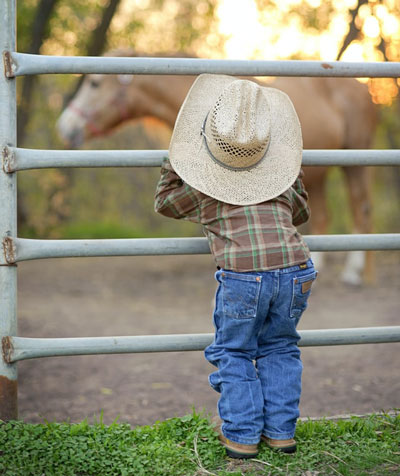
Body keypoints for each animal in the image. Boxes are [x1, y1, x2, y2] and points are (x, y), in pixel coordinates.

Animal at [57, 50, 378, 284]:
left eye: (95, 83)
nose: (65, 127)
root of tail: (364, 89)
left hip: (355, 162)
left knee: (360, 208)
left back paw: (353, 273)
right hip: (321, 174)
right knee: (323, 215)